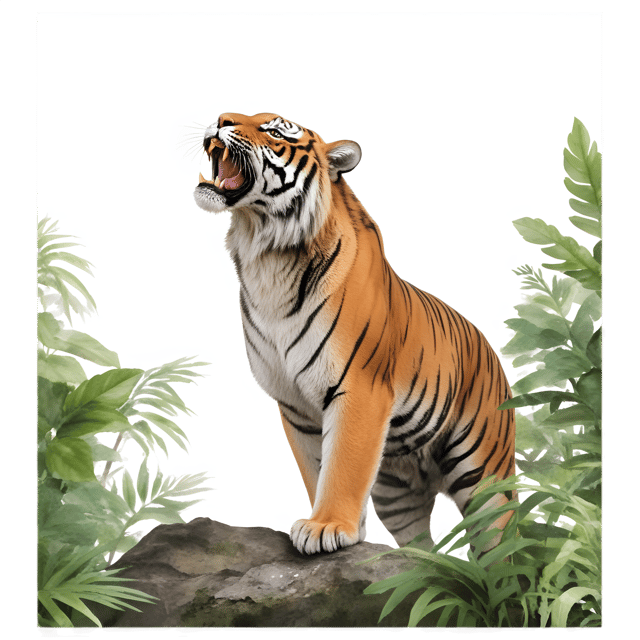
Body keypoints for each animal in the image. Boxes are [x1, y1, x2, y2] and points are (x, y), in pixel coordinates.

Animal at [193, 112, 516, 555]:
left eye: (274, 131)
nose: (220, 118)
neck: (266, 255)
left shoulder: (358, 388)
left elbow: (343, 465)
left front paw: (326, 526)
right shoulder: (296, 406)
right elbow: (318, 470)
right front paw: (339, 530)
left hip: (485, 472)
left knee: (501, 543)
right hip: (397, 490)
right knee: (424, 551)